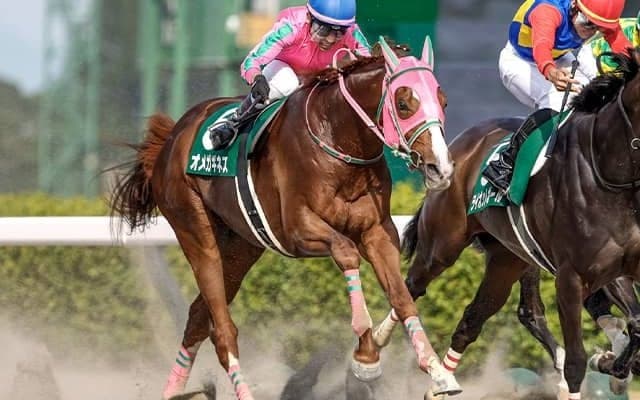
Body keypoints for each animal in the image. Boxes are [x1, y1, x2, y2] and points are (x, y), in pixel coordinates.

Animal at [109, 37, 461, 400]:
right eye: (404, 104)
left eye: (443, 101)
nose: (441, 169)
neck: (338, 143)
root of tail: (172, 136)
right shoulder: (298, 230)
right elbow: (346, 251)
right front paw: (366, 354)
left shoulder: (377, 231)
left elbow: (402, 298)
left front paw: (436, 373)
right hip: (195, 230)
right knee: (222, 331)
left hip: (241, 247)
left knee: (197, 318)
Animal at [371, 48, 640, 400]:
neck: (607, 176)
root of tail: (458, 146)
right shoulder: (575, 275)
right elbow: (584, 355)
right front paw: (602, 365)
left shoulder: (619, 268)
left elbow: (636, 324)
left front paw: (614, 366)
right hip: (441, 247)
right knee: (412, 287)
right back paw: (379, 345)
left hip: (507, 259)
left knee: (475, 317)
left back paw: (443, 382)